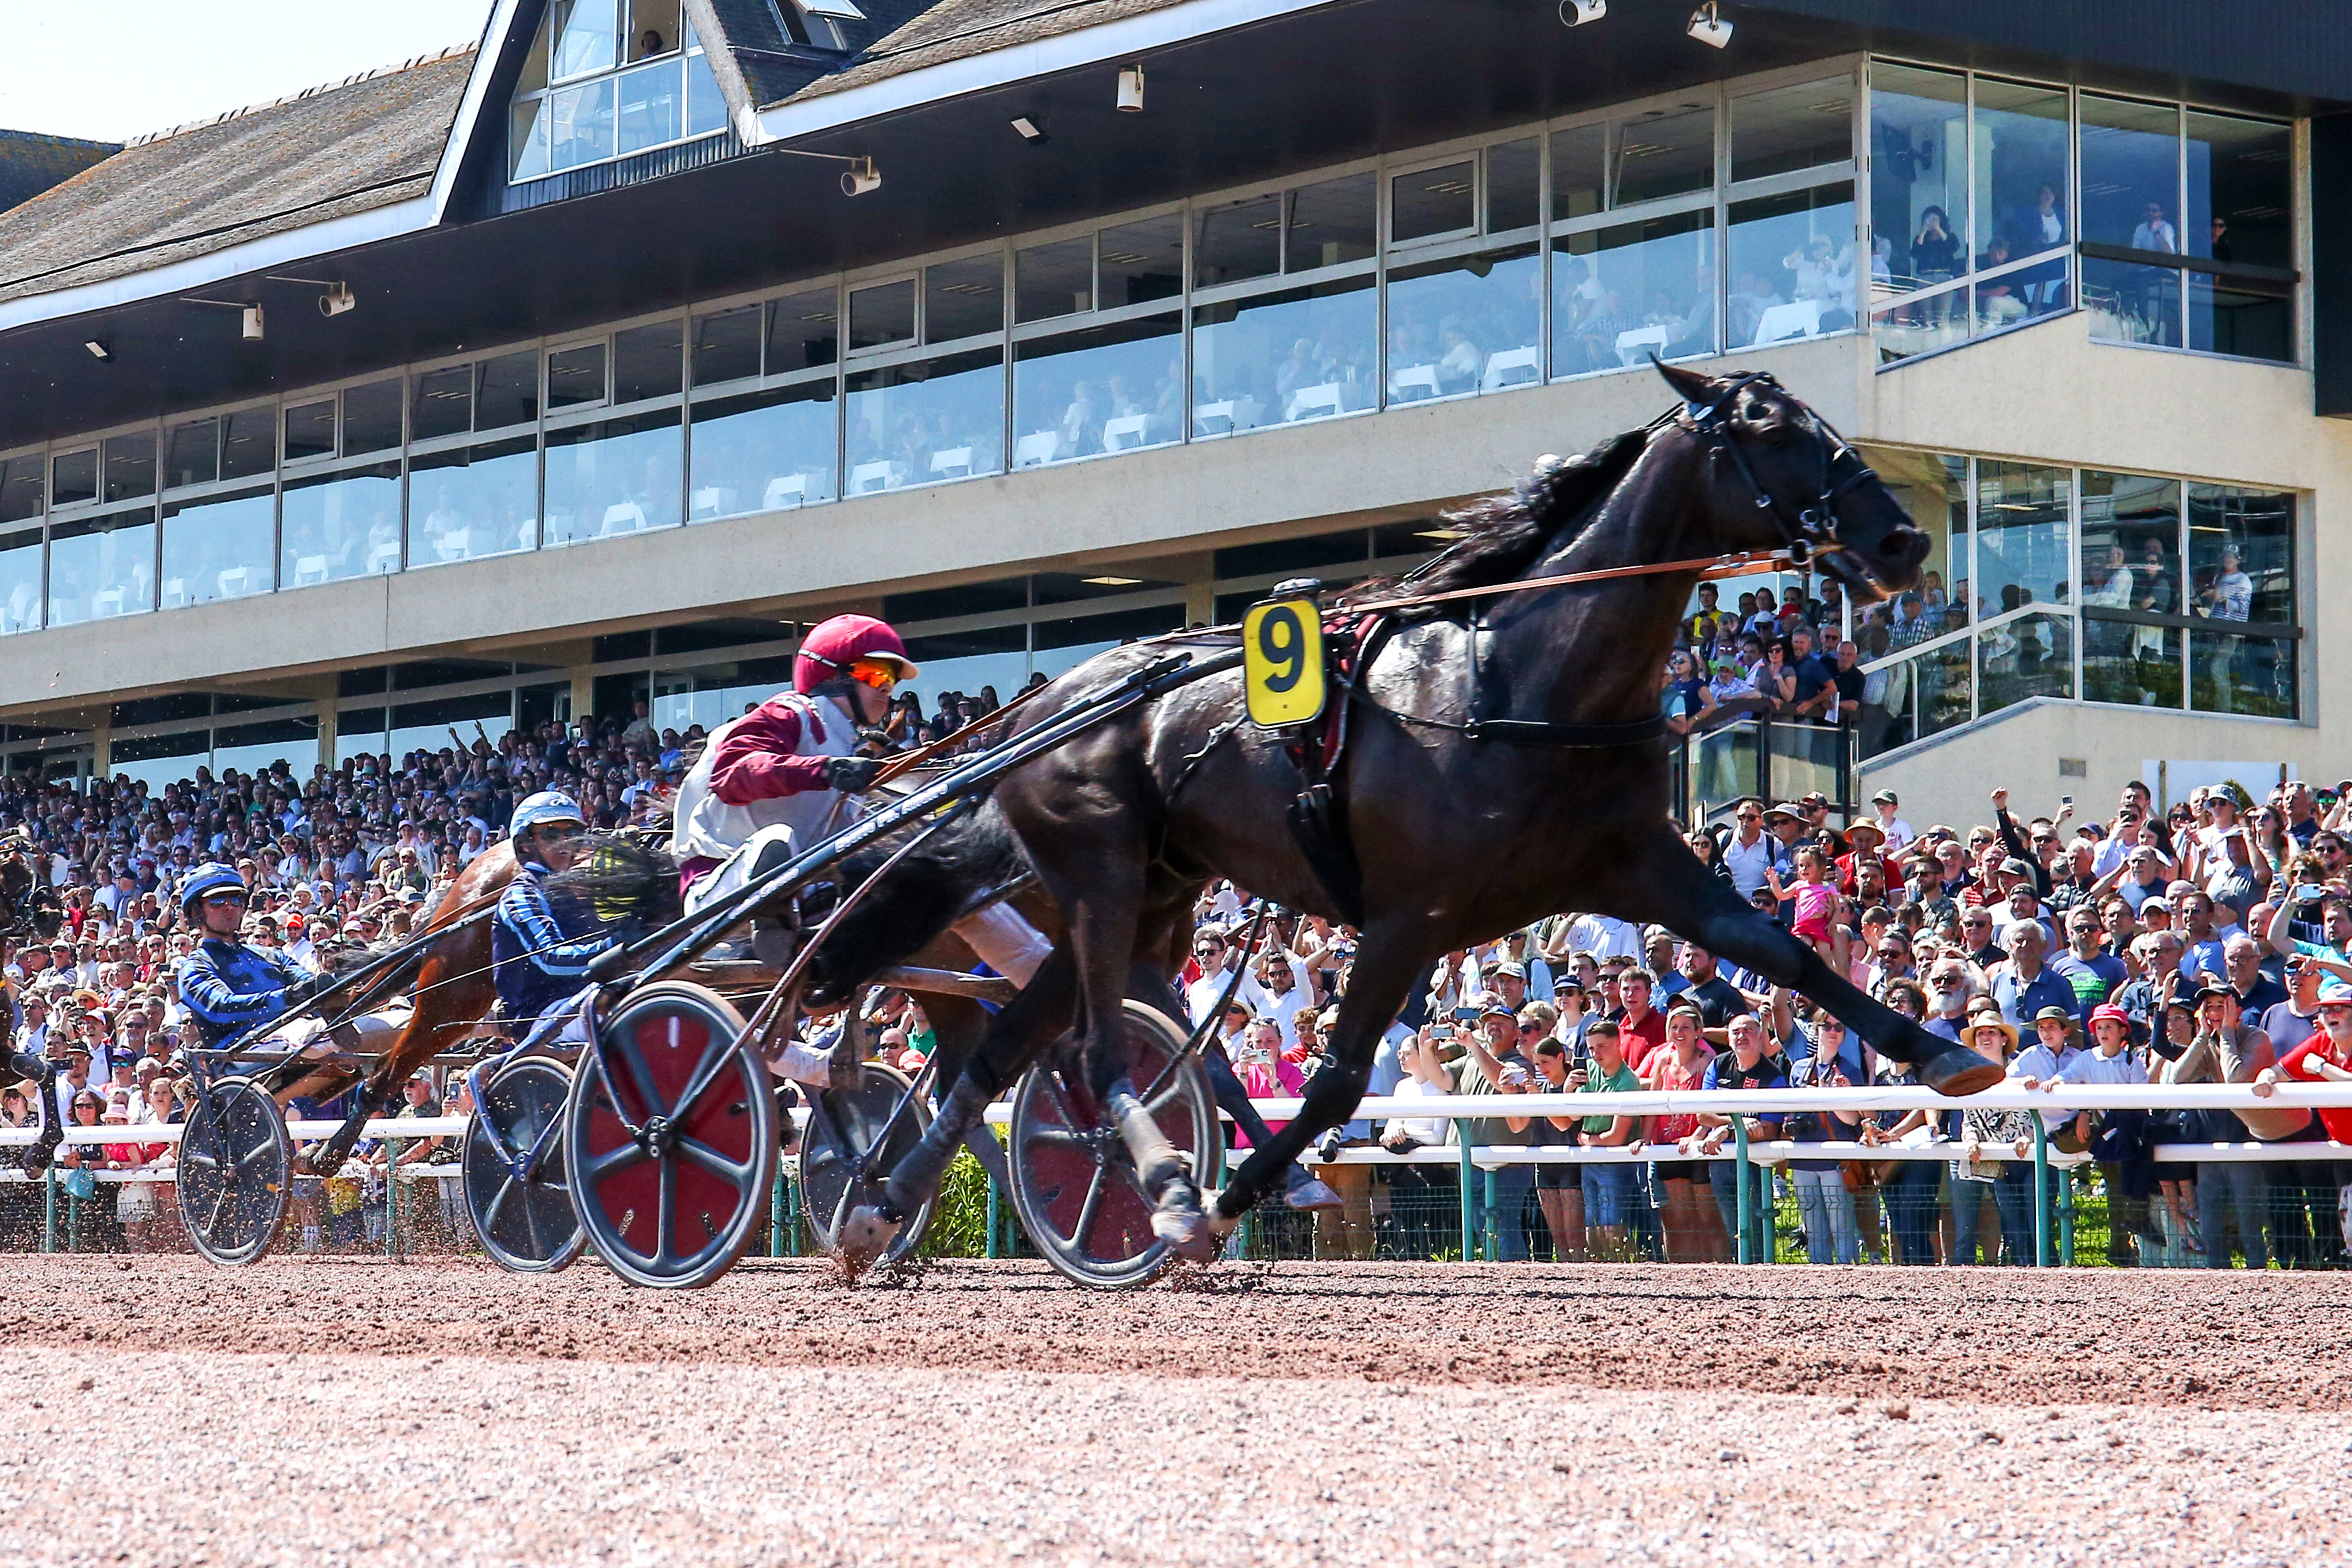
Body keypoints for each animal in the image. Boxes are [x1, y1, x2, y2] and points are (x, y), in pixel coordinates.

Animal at [818, 362, 1994, 1269]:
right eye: (1765, 426)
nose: (1900, 540)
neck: (1515, 682)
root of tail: (1043, 704)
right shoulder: (1406, 915)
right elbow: (1338, 1082)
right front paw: (1228, 1200)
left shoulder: (1630, 862)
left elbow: (1773, 946)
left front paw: (1944, 1055)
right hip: (1101, 876)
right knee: (1098, 1050)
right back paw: (1155, 1187)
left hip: (1146, 894)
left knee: (1009, 1046)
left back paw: (882, 1207)